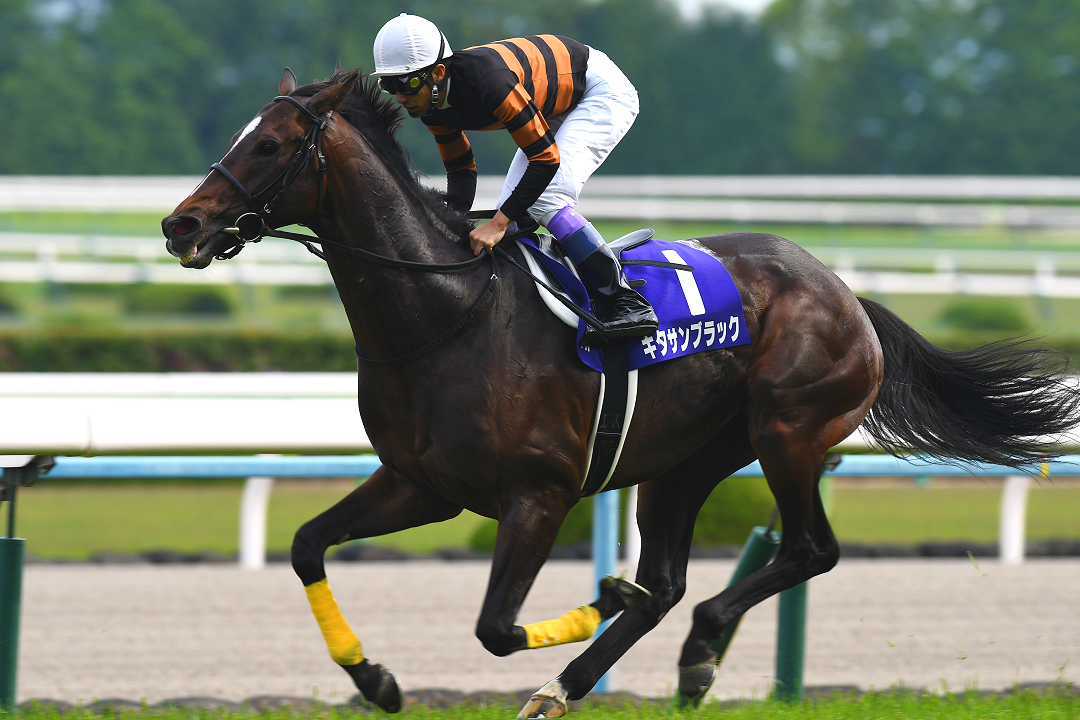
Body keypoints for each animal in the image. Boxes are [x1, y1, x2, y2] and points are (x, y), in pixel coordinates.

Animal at [162, 68, 1080, 716]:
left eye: (271, 146)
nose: (180, 224)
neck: (447, 311)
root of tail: (847, 294)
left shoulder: (539, 492)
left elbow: (495, 627)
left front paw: (600, 594)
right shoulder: (421, 484)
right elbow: (306, 544)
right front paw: (375, 678)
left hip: (788, 430)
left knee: (808, 549)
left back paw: (685, 649)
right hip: (684, 461)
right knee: (670, 582)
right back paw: (599, 675)